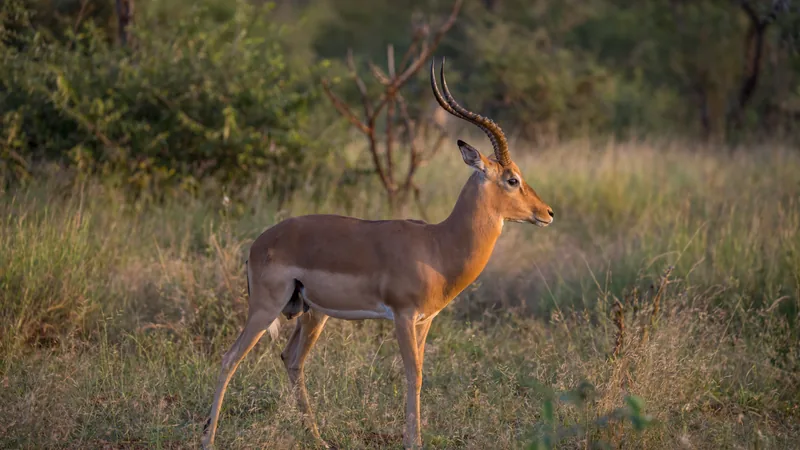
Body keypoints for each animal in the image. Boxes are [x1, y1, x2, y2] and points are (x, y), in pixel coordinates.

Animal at [201, 58, 554, 449]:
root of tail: (258, 244)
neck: (438, 244)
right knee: (229, 359)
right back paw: (208, 438)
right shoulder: (402, 316)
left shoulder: (425, 320)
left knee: (291, 360)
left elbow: (420, 373)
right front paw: (413, 442)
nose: (547, 213)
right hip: (266, 308)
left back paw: (319, 440)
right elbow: (412, 375)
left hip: (312, 313)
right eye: (512, 179)